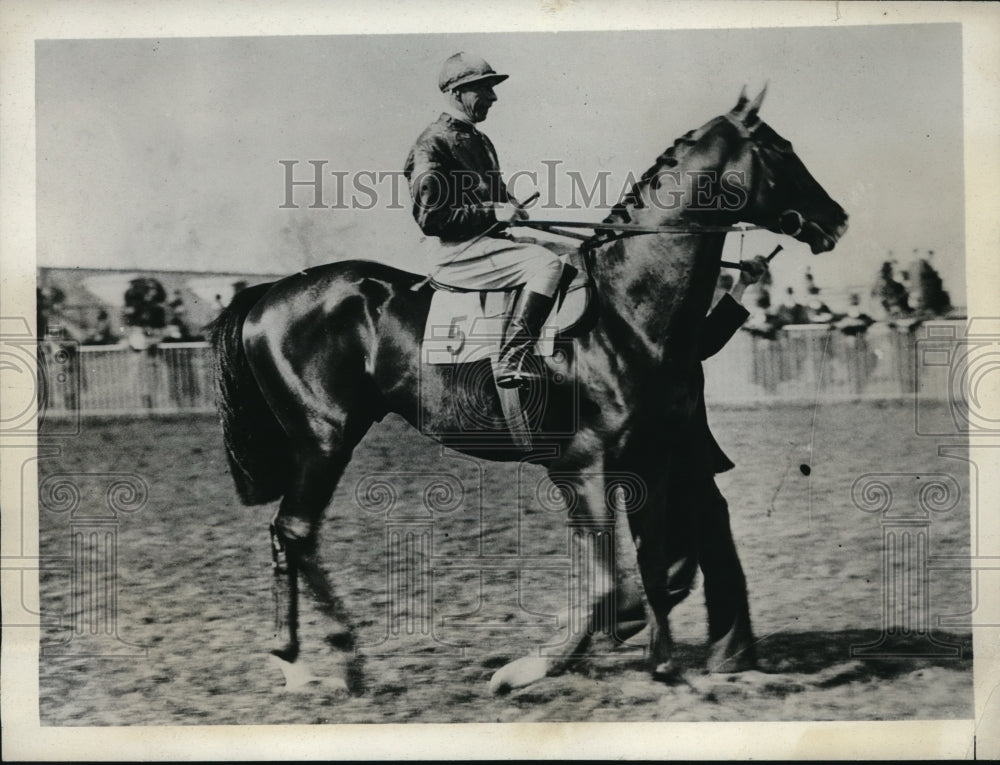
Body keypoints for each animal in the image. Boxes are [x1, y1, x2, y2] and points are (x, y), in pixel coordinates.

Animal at [211, 89, 844, 692]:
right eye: (780, 150)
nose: (836, 219)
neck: (623, 313)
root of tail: (268, 293)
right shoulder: (582, 465)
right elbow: (611, 587)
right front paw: (532, 667)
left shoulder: (651, 459)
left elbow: (652, 567)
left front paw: (663, 665)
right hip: (325, 440)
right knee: (294, 531)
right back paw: (322, 658)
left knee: (292, 535)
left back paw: (312, 661)